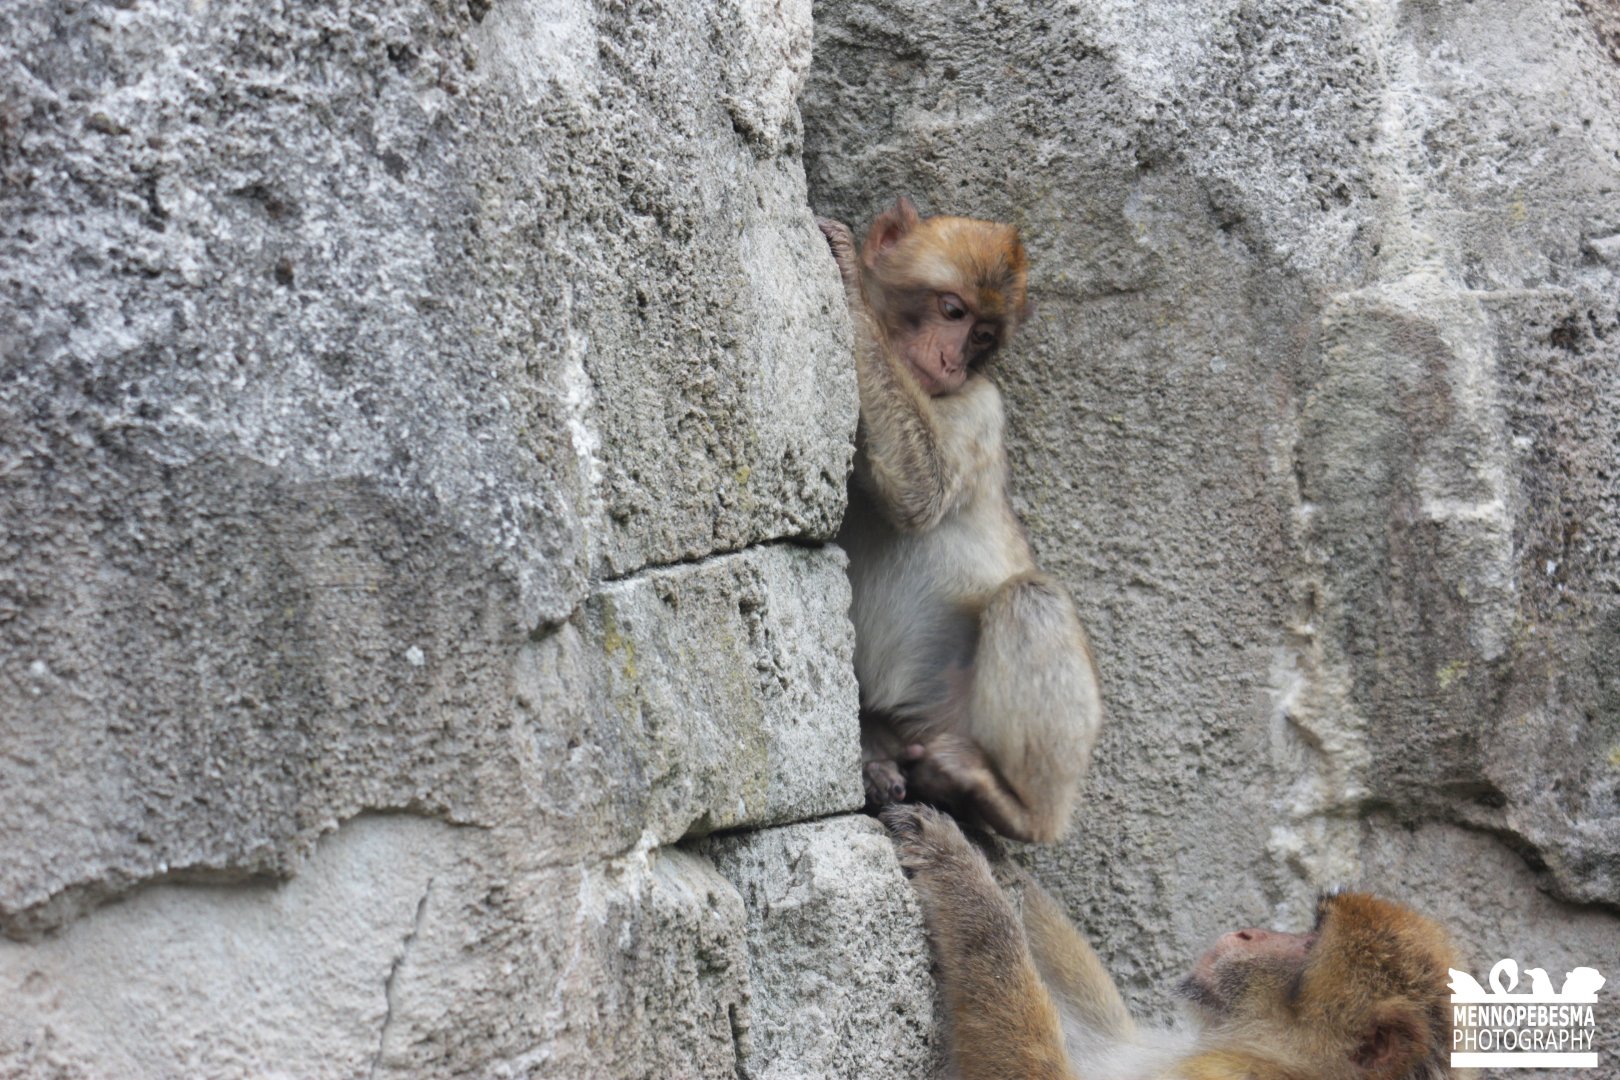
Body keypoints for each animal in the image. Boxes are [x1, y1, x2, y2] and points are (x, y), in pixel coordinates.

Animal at [816, 197, 1102, 844]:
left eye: (983, 337)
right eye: (953, 311)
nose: (952, 361)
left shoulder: (981, 406)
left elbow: (921, 491)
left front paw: (851, 290)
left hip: (957, 723)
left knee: (1031, 599)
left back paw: (1017, 810)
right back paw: (877, 765)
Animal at [882, 803, 1466, 1080]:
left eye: (1308, 945)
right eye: (1307, 928)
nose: (1247, 931)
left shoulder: (1233, 1076)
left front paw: (962, 879)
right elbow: (1105, 1034)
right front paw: (991, 854)